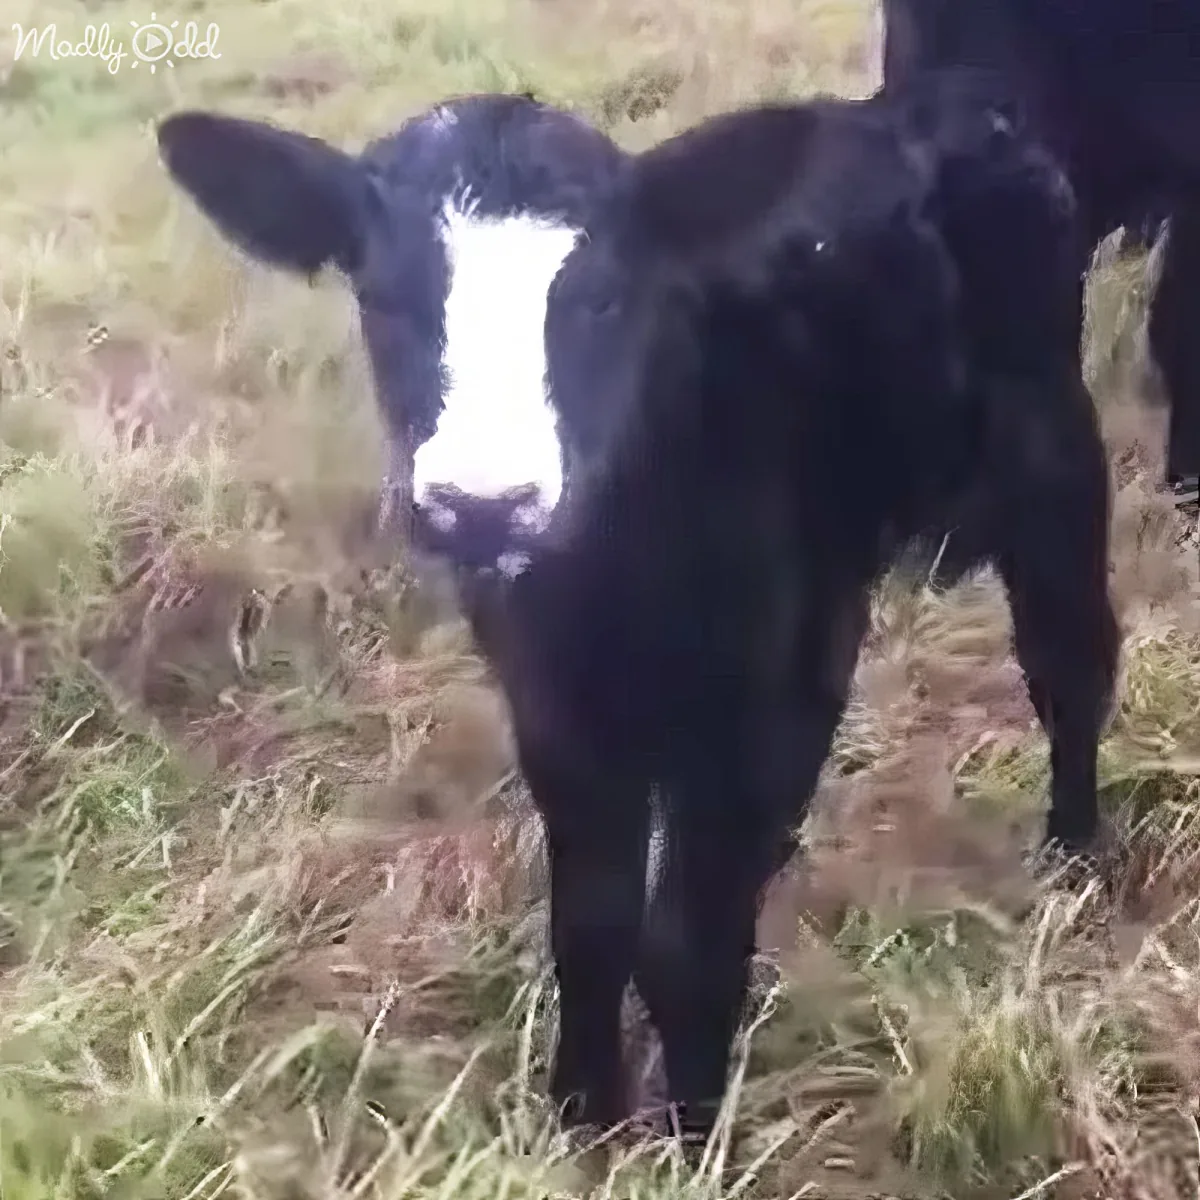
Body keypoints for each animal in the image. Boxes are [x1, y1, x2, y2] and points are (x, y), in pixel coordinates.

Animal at [460, 67, 1119, 1143]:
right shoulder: (559, 718)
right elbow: (593, 925)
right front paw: (583, 1118)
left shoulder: (765, 699)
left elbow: (679, 939)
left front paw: (693, 1139)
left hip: (1051, 467)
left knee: (1074, 662)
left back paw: (1075, 849)